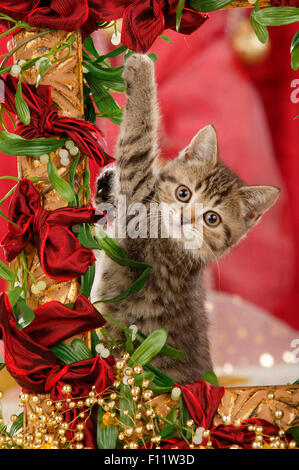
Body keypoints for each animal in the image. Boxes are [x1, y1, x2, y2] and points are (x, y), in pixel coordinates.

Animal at [92, 54, 282, 386]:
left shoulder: (139, 221)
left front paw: (142, 71)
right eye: (184, 193)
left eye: (212, 218)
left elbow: (138, 143)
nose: (185, 217)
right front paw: (106, 185)